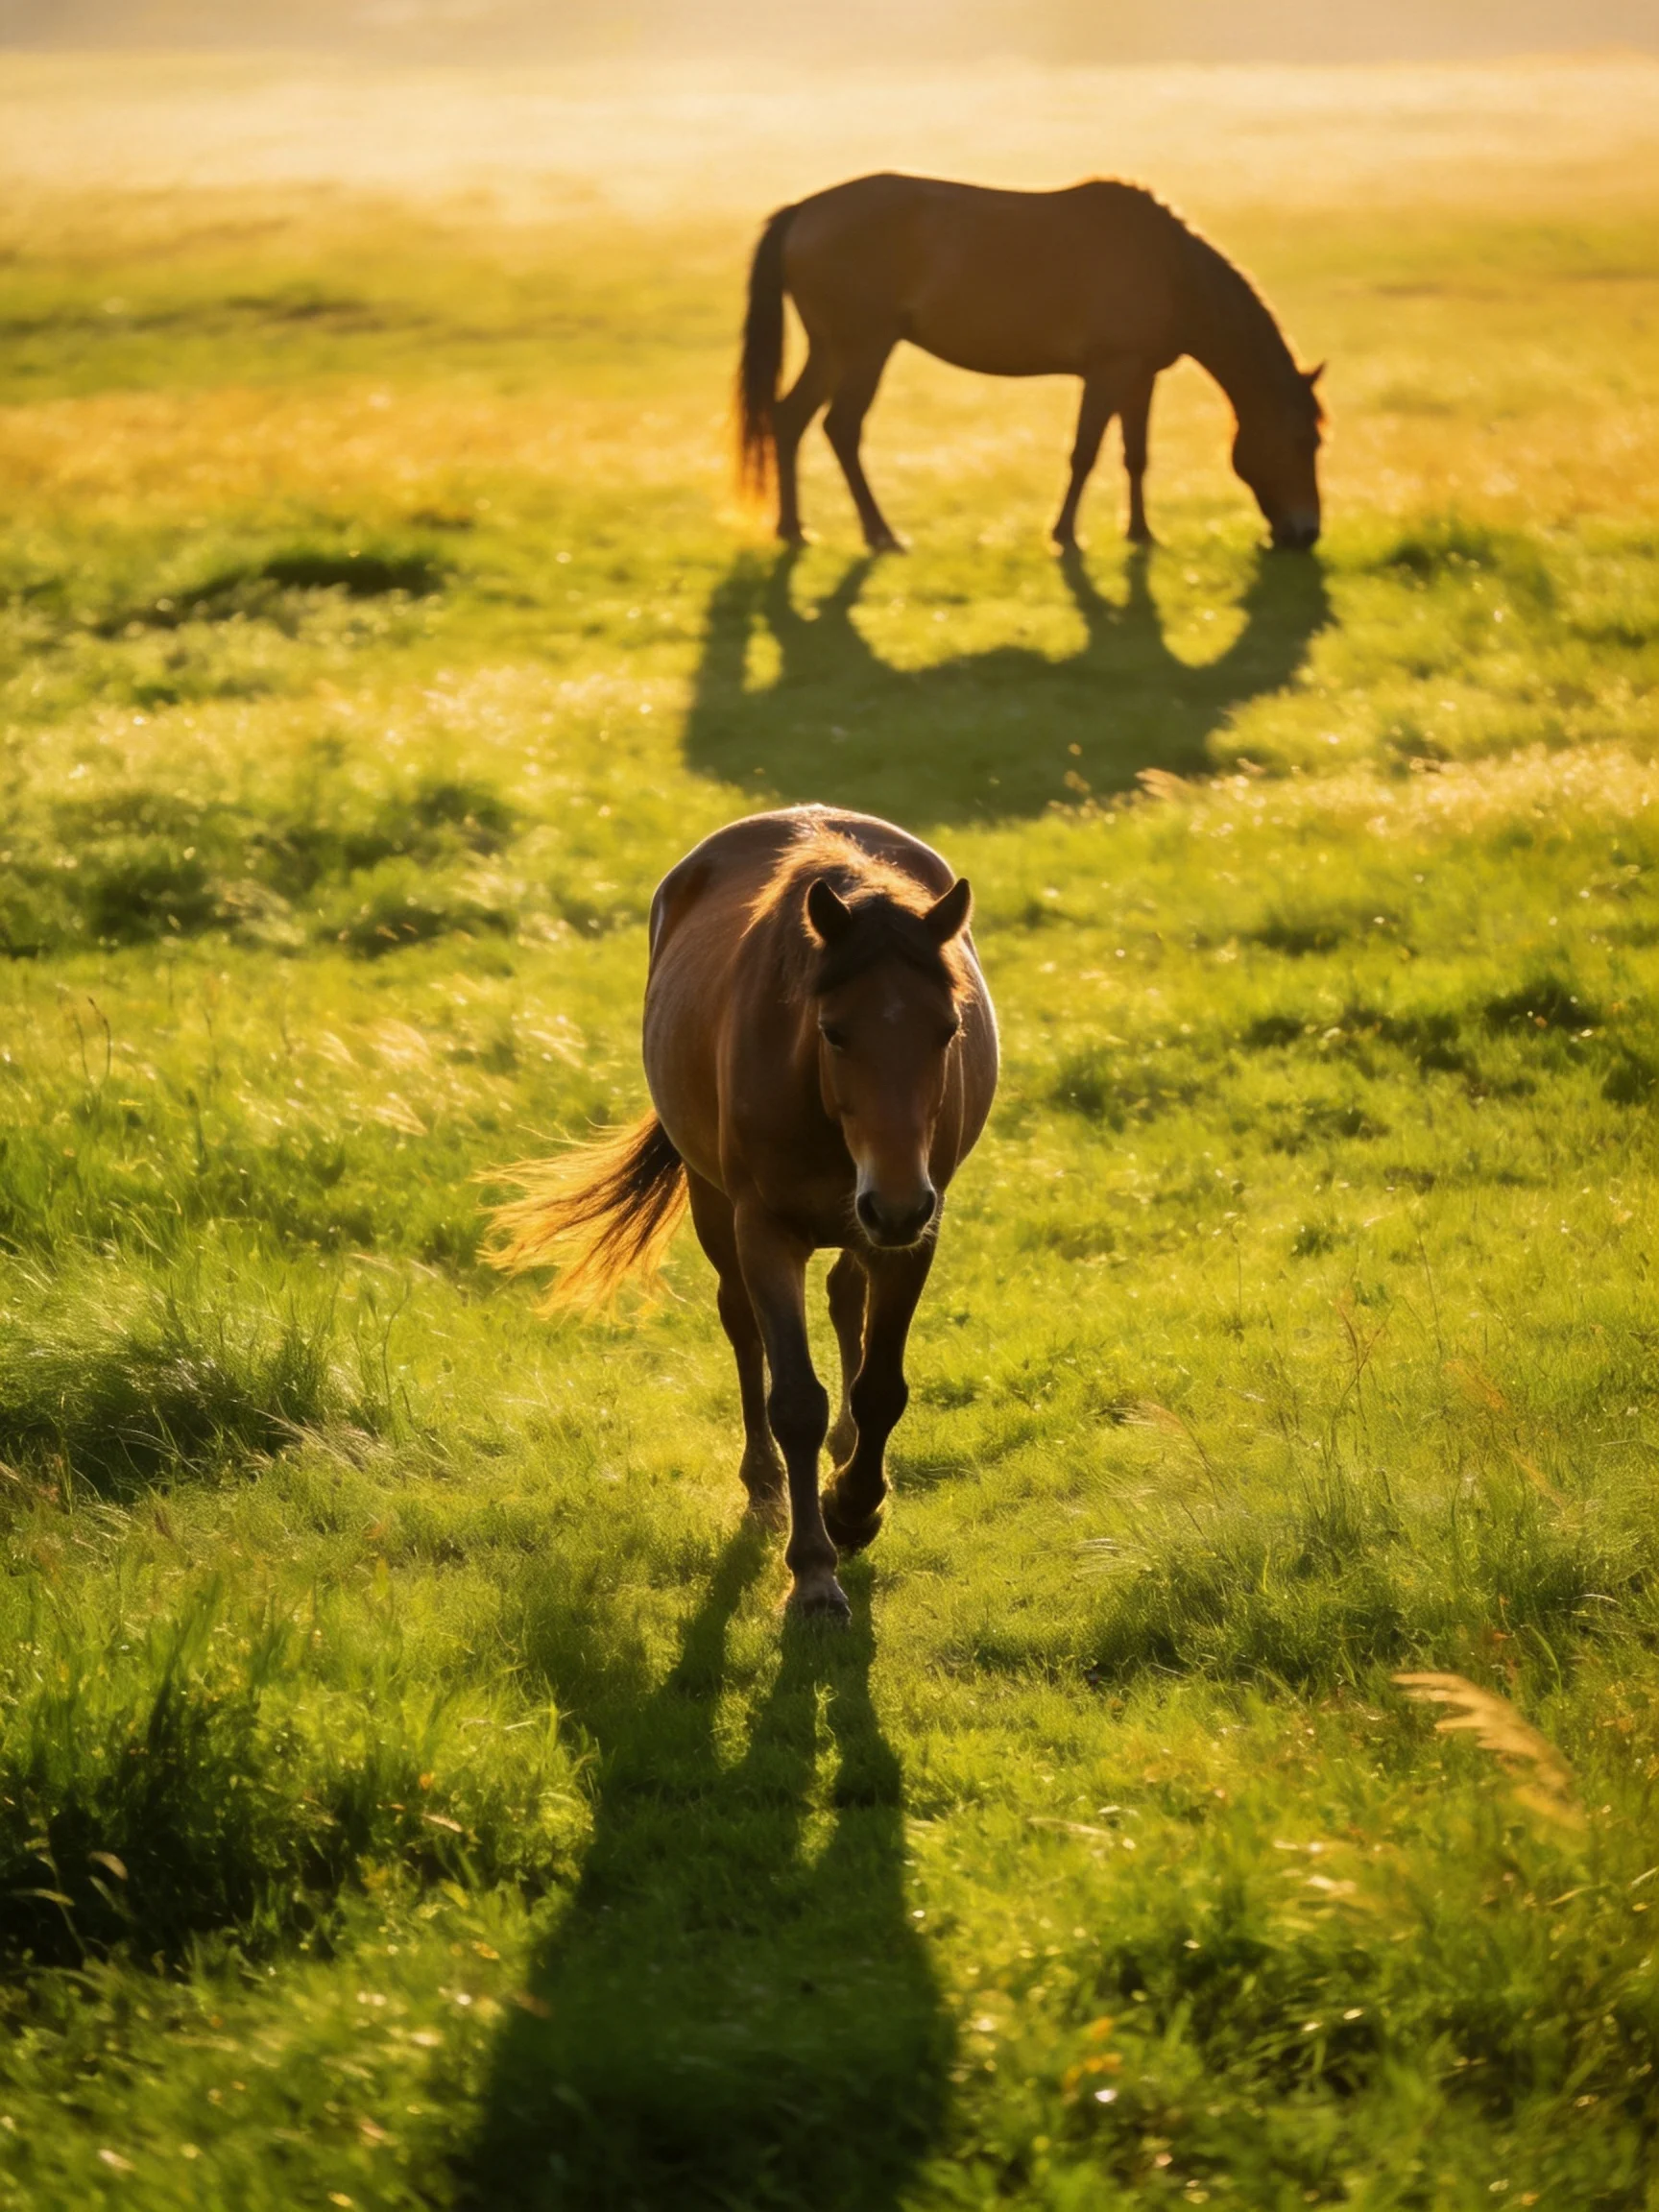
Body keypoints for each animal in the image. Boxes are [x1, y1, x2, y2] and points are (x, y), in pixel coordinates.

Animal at [488, 807, 999, 1620]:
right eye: (833, 1031)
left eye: (947, 1029)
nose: (893, 1202)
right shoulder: (766, 1231)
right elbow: (793, 1398)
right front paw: (815, 1570)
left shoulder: (915, 1232)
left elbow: (880, 1387)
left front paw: (856, 1507)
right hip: (717, 1203)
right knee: (741, 1326)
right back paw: (764, 1487)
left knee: (845, 1299)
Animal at [736, 172, 1324, 555]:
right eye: (1305, 441)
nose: (1307, 532)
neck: (1171, 269)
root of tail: (804, 210)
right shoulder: (1107, 371)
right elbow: (1084, 453)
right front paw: (1065, 536)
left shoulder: (1140, 376)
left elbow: (1135, 455)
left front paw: (1140, 533)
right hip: (865, 348)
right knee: (841, 427)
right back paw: (879, 534)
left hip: (831, 350)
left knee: (789, 419)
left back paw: (793, 529)